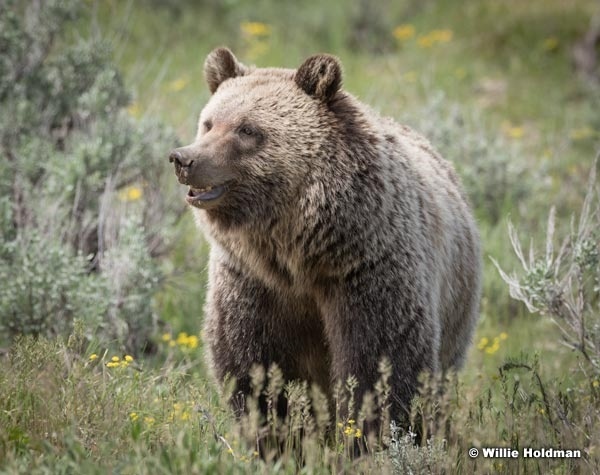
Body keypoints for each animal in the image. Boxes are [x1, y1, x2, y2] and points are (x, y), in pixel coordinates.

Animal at [169, 47, 482, 432]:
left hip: (457, 306)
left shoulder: (369, 269)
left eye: (247, 129)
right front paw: (274, 430)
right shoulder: (253, 281)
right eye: (209, 122)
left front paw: (370, 431)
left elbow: (382, 362)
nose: (185, 158)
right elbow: (251, 365)